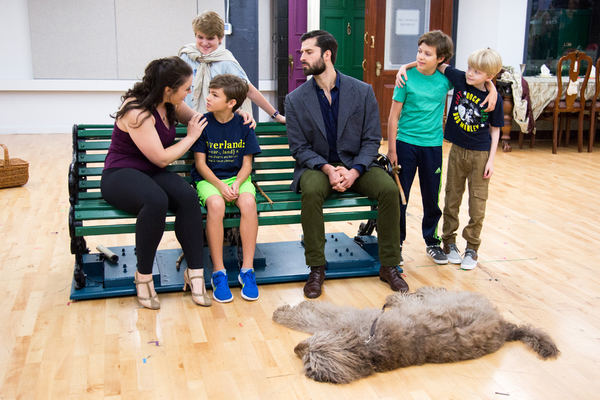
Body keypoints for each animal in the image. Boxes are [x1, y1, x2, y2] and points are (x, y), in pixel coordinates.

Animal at [274, 286, 560, 382]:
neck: (369, 347)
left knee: (428, 293)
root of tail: (505, 326)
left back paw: (399, 296)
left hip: (450, 300)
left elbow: (311, 316)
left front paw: (283, 313)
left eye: (309, 361)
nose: (296, 349)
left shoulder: (345, 318)